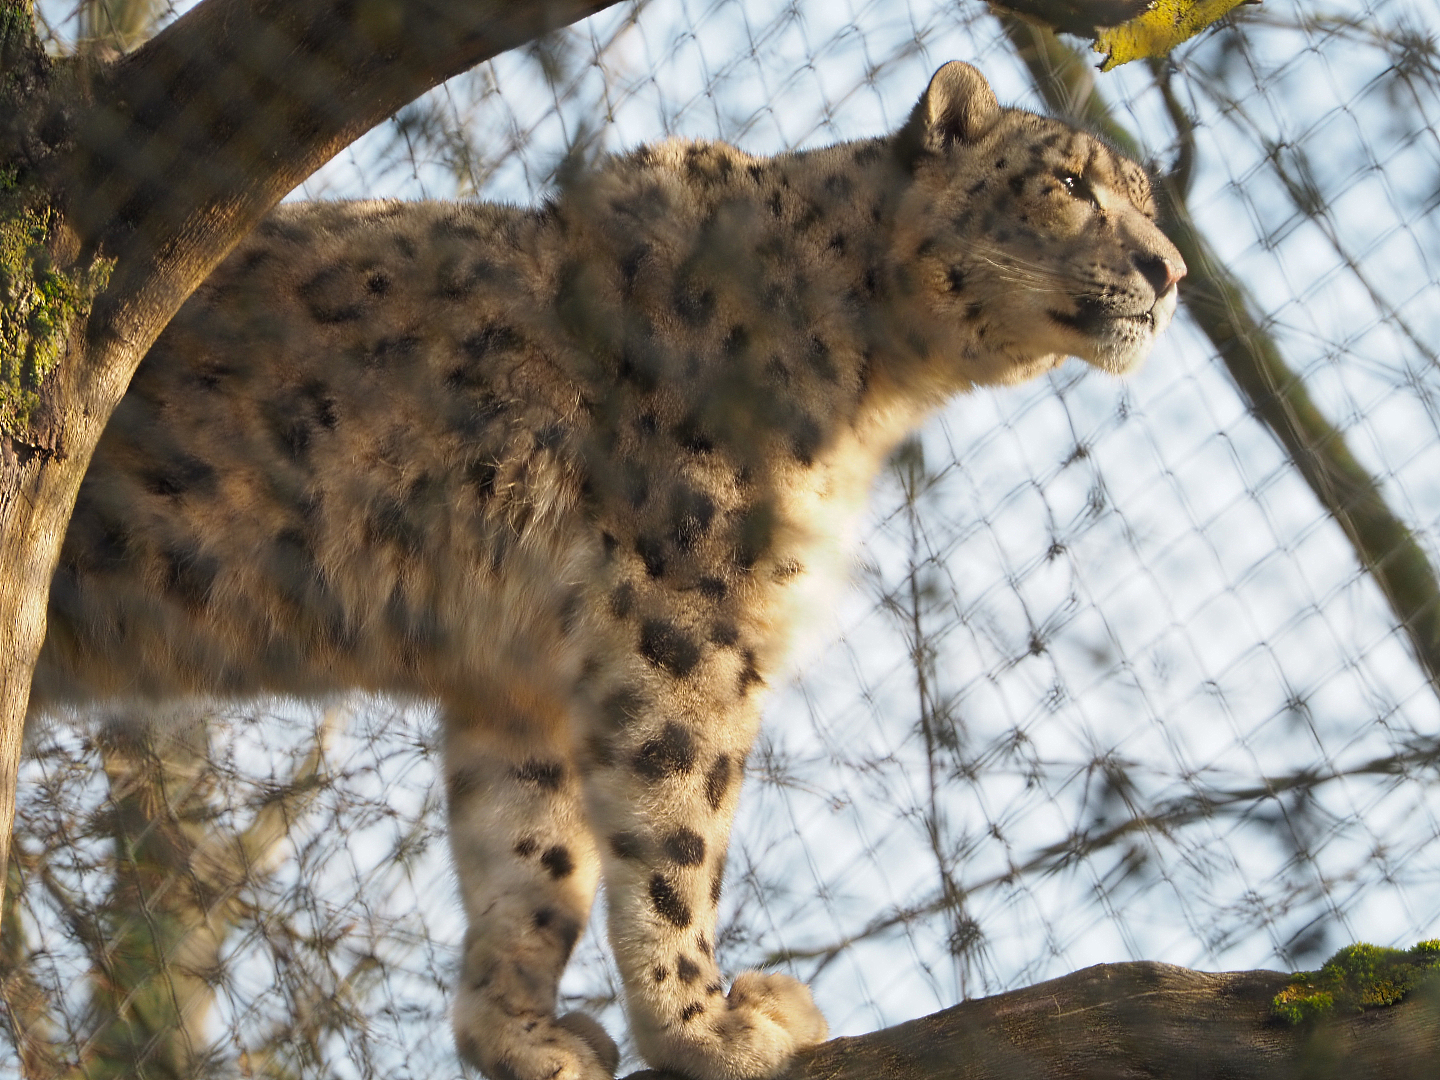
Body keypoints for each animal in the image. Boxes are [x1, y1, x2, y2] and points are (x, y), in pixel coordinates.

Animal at [30, 62, 1184, 1080]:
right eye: (1070, 184)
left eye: (1144, 202)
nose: (1170, 271)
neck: (879, 389)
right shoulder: (687, 607)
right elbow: (678, 823)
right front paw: (705, 1026)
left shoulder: (523, 675)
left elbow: (535, 857)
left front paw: (521, 1037)